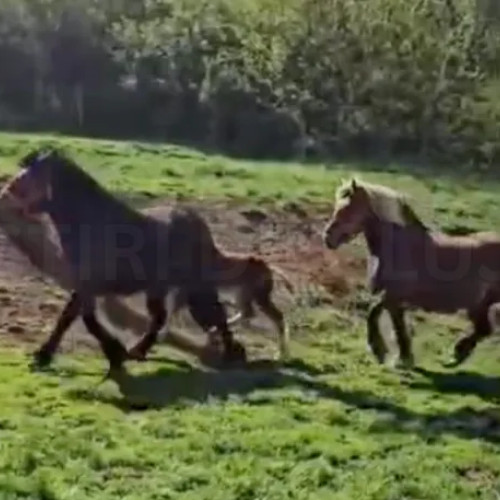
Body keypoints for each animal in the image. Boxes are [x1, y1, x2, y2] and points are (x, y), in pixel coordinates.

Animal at [0, 148, 246, 375]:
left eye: (28, 176)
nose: (4, 195)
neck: (89, 222)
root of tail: (198, 223)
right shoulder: (84, 285)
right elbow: (77, 318)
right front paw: (113, 353)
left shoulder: (87, 286)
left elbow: (78, 319)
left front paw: (112, 354)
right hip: (160, 289)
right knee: (163, 318)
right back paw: (139, 351)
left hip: (196, 287)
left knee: (216, 314)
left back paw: (232, 354)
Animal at [322, 177, 500, 368]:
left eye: (349, 208)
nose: (328, 238)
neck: (399, 247)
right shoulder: (394, 302)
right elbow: (397, 327)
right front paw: (402, 357)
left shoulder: (393, 296)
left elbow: (374, 313)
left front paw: (382, 352)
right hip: (480, 304)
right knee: (484, 329)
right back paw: (457, 356)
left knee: (484, 329)